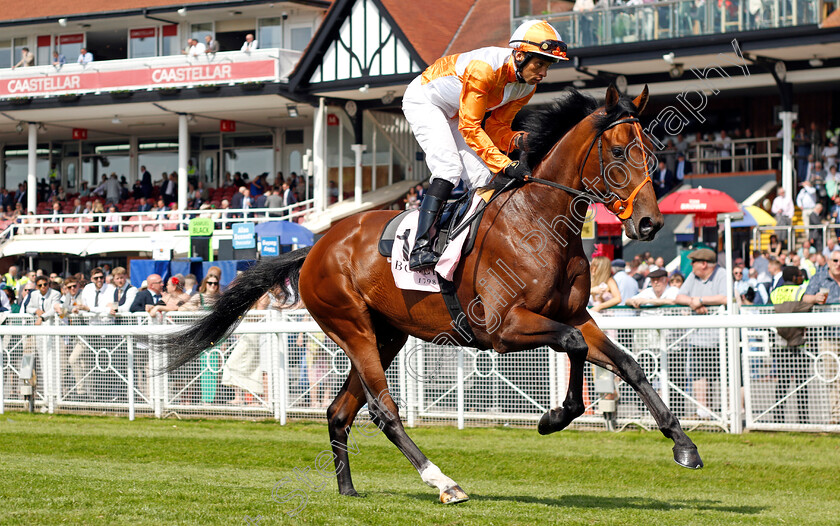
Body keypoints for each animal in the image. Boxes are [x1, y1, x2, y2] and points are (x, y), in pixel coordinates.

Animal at [162, 85, 704, 508]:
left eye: (652, 151)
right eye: (619, 152)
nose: (650, 223)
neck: (539, 220)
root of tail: (316, 245)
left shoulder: (575, 313)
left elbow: (626, 363)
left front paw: (683, 445)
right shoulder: (502, 328)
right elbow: (570, 345)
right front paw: (554, 417)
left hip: (386, 336)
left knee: (340, 411)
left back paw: (348, 489)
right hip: (352, 328)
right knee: (383, 410)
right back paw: (443, 482)